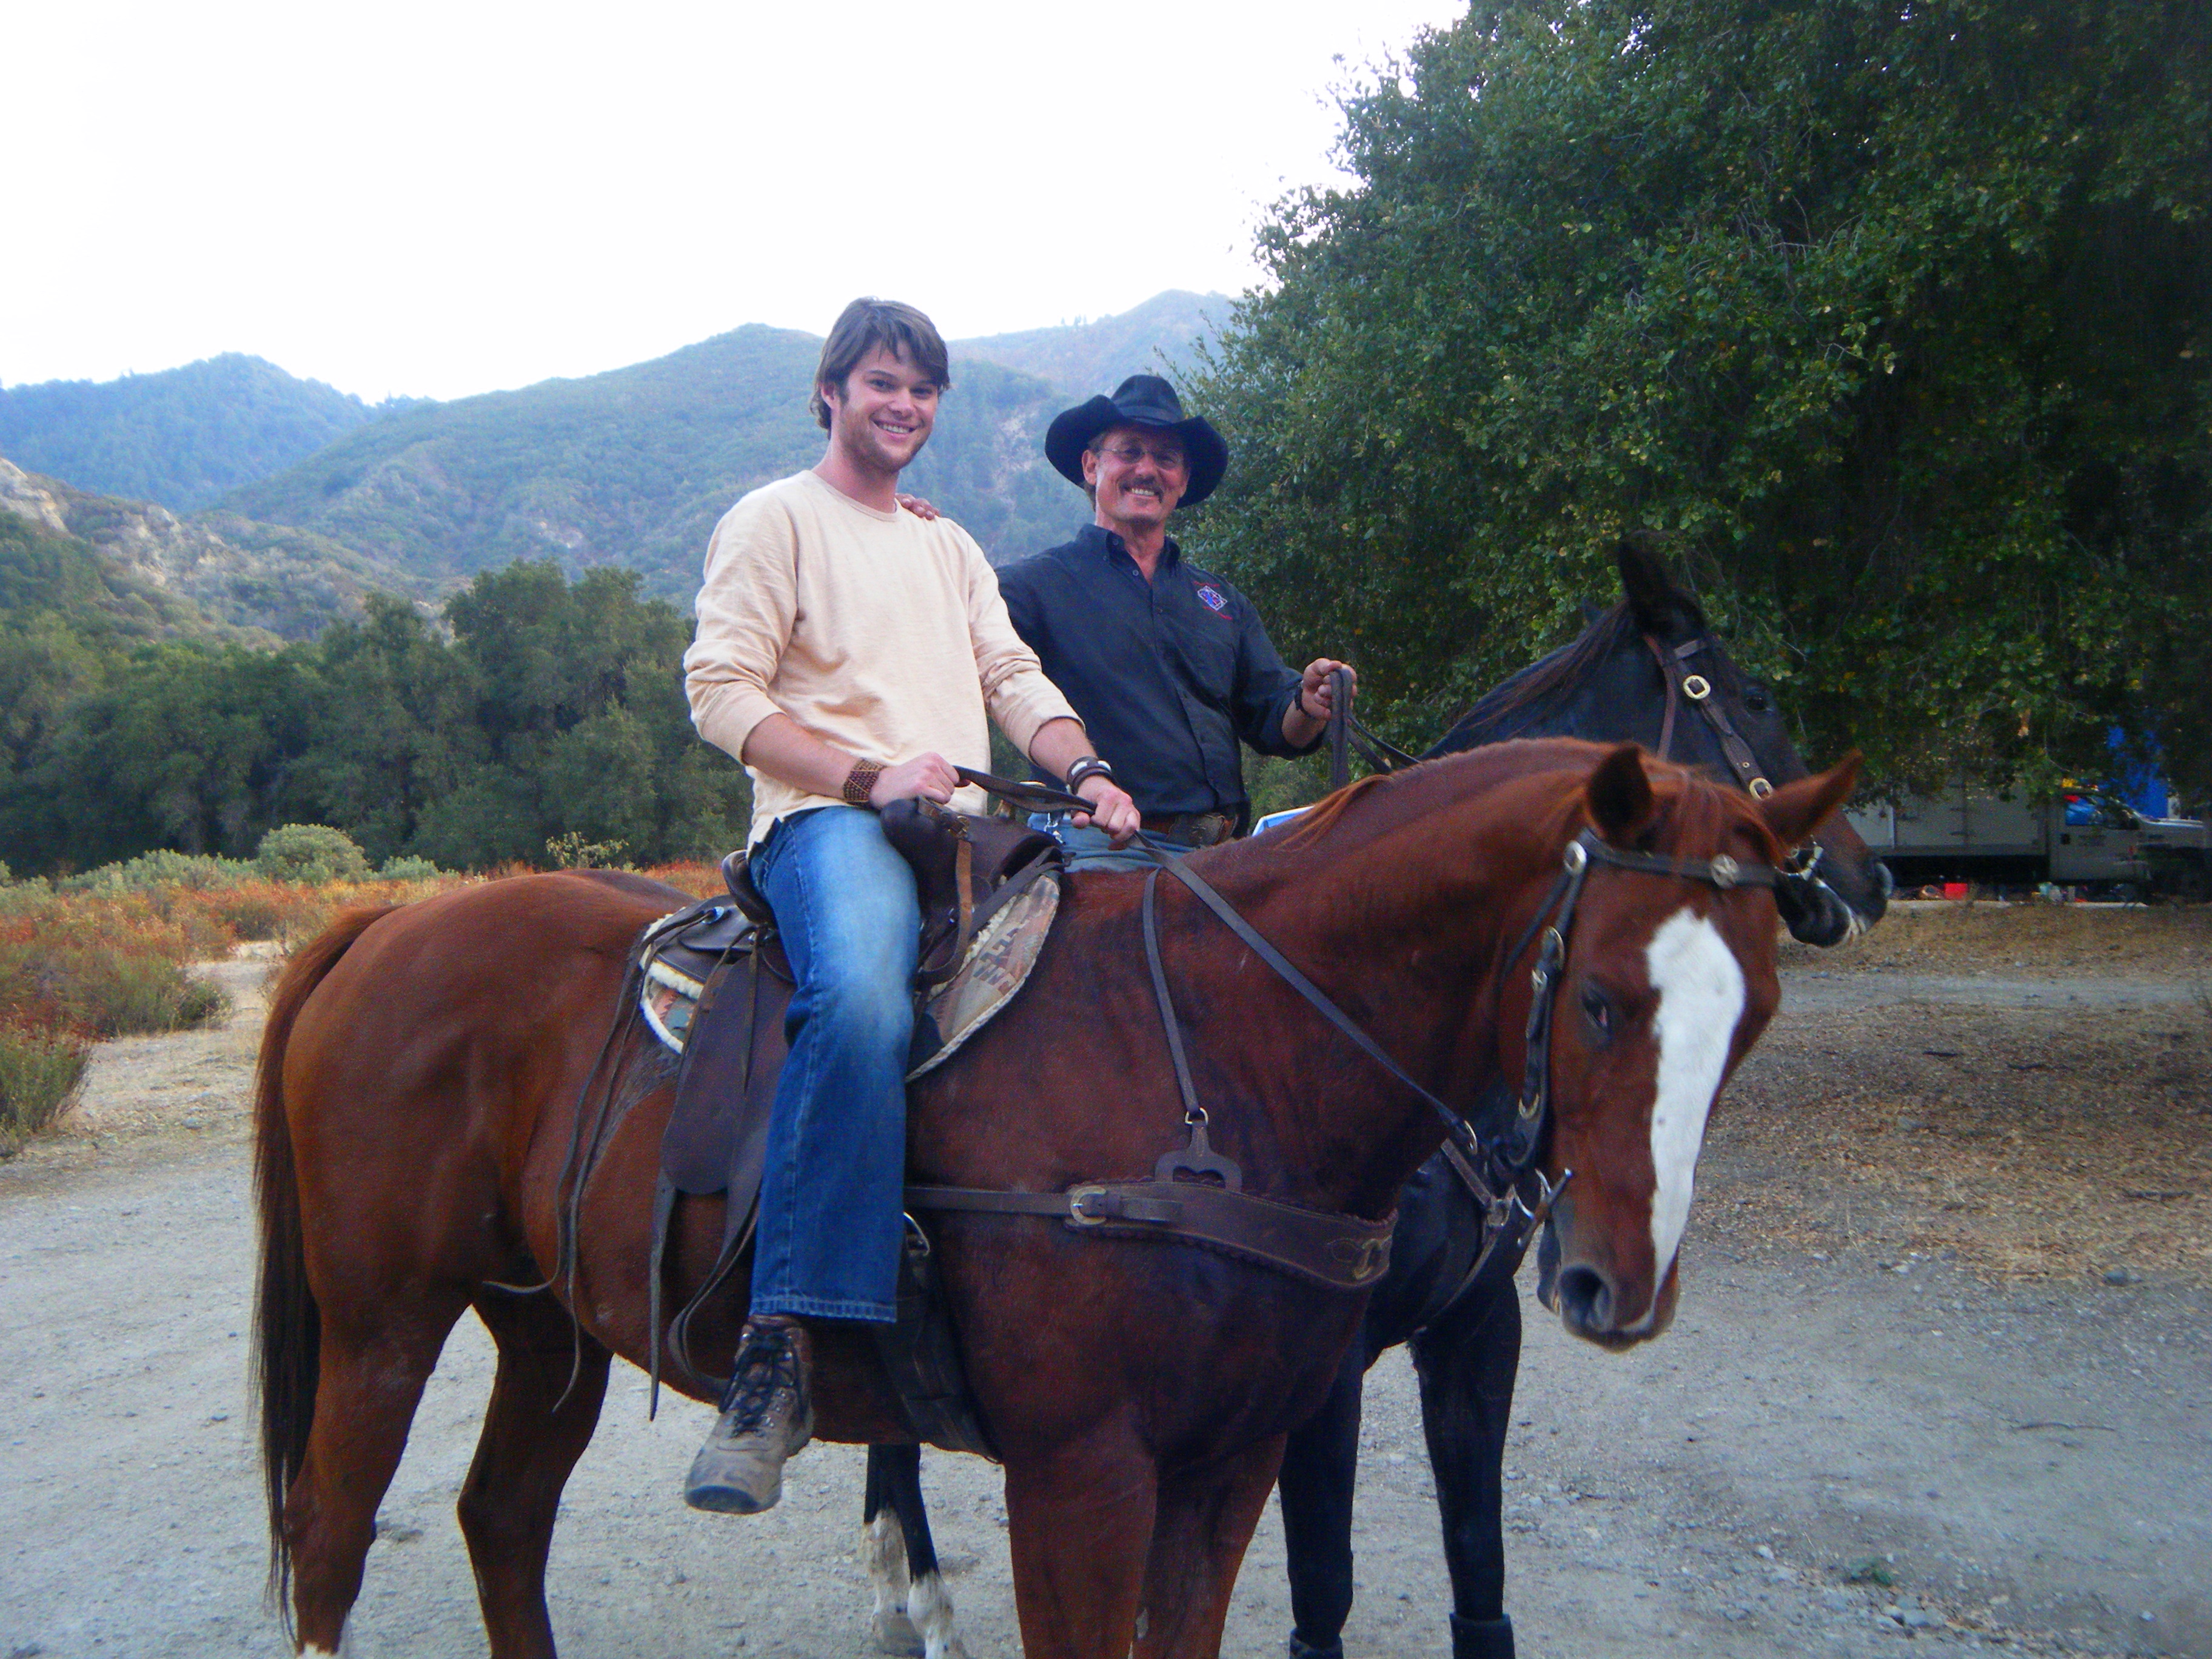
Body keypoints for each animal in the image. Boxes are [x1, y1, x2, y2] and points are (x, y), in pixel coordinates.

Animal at [254, 743, 1849, 1659]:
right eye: (1600, 998)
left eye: (1758, 1011)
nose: (1616, 1282)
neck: (1217, 1055)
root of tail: (382, 924)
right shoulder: (1082, 1476)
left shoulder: (1231, 1458)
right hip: (384, 1326)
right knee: (331, 1539)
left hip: (544, 1327)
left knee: (501, 1519)